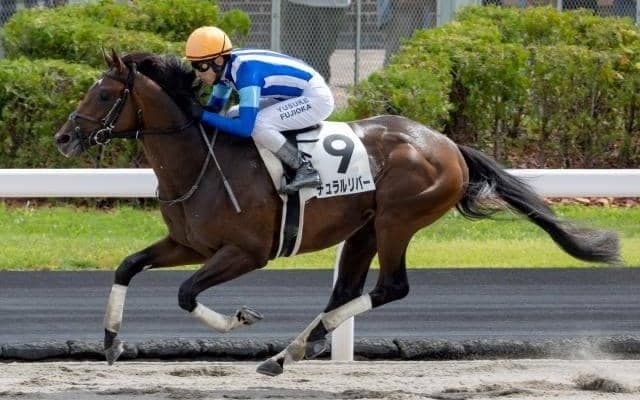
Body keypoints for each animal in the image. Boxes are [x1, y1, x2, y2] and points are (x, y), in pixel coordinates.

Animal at [54, 50, 620, 376]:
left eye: (103, 94)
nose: (63, 138)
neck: (200, 161)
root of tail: (448, 145)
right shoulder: (188, 244)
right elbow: (128, 265)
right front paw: (110, 344)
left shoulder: (247, 252)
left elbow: (186, 293)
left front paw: (240, 317)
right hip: (363, 229)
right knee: (346, 290)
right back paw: (288, 353)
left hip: (397, 220)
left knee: (390, 288)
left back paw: (288, 353)